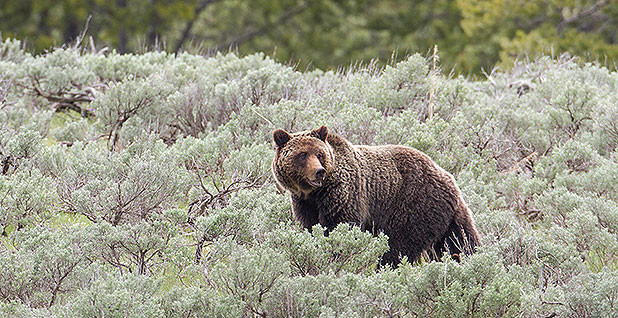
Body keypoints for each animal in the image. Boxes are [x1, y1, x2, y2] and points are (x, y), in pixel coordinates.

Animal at [270, 125, 482, 264]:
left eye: (319, 154)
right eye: (302, 155)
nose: (319, 171)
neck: (315, 193)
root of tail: (447, 176)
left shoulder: (344, 194)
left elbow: (339, 226)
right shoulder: (304, 203)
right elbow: (310, 227)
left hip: (413, 206)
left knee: (399, 246)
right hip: (448, 215)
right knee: (460, 241)